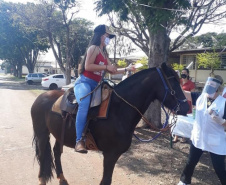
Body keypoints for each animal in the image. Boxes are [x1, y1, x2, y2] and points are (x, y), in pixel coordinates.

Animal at [30, 62, 188, 184]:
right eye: (173, 81)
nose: (186, 107)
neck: (118, 109)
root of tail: (41, 97)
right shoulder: (110, 154)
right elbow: (106, 181)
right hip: (42, 134)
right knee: (43, 154)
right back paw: (42, 179)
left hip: (59, 134)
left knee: (57, 152)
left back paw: (62, 179)